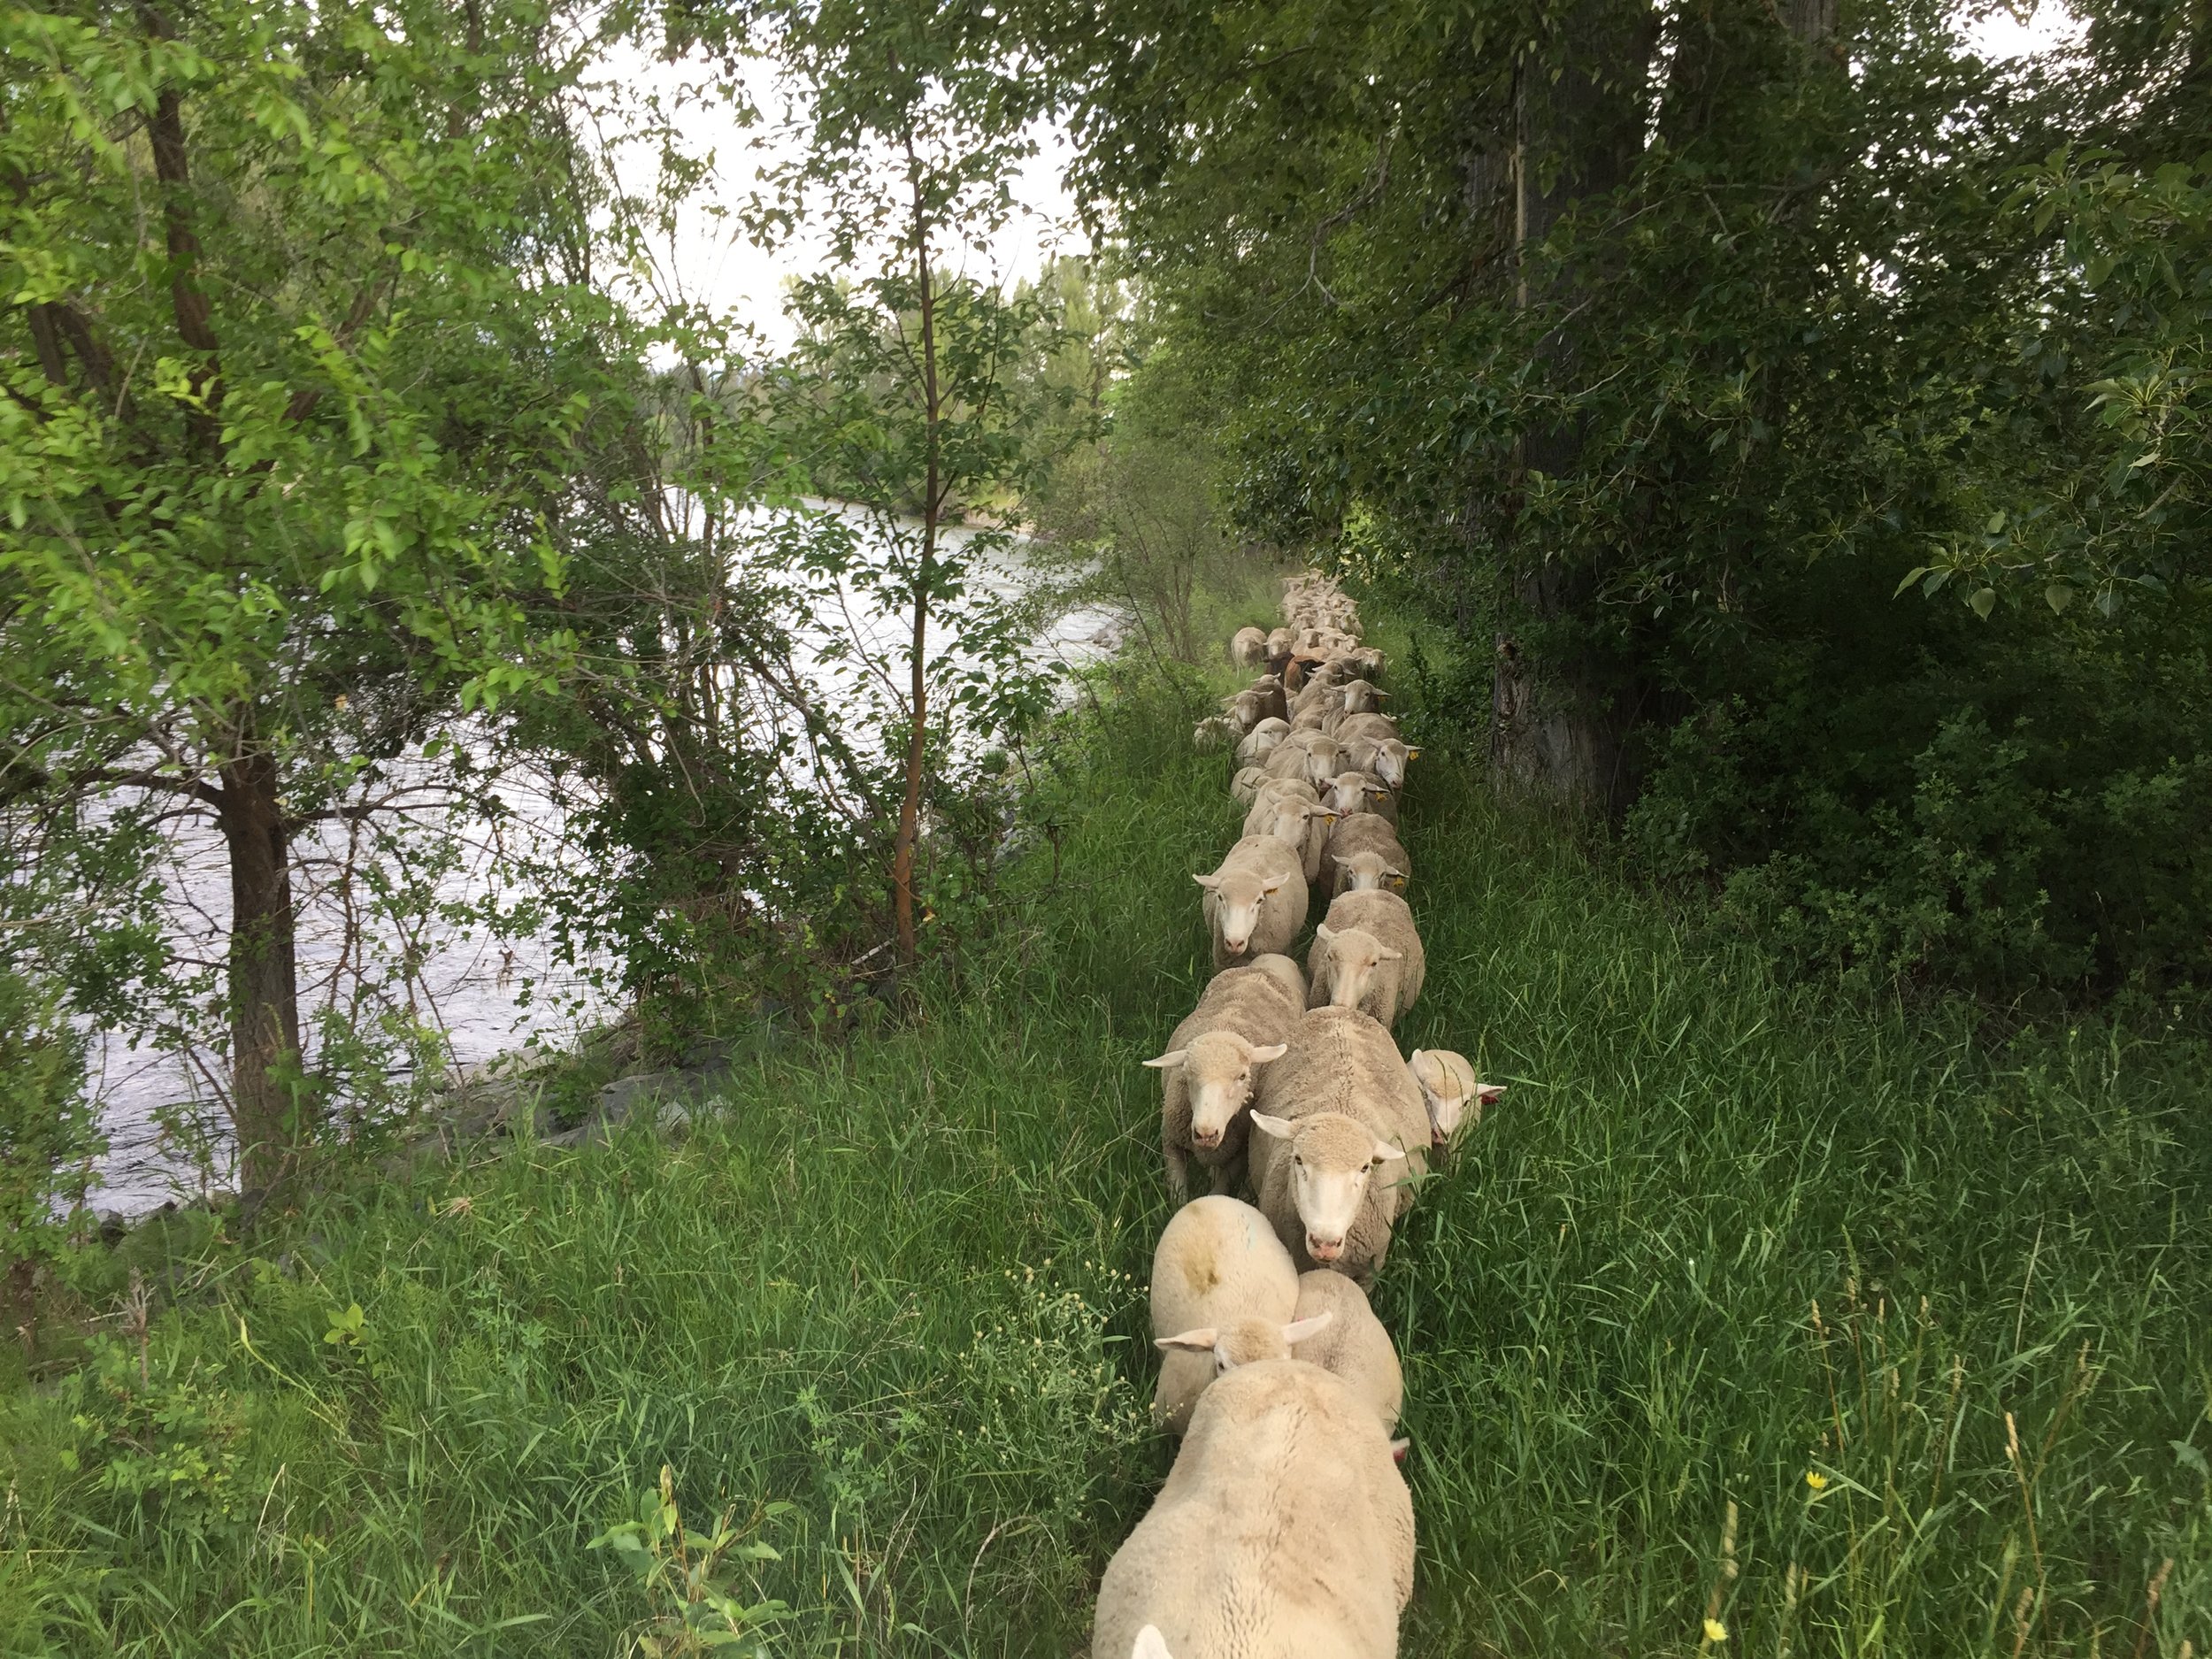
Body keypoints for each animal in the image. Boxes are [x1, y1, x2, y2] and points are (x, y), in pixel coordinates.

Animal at [1147, 966, 1301, 1201]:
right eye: (1187, 1073)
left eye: (1243, 1077)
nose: (1206, 1133)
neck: (1226, 1027)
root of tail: (1258, 969)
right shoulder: (1171, 1143)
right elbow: (1178, 1194)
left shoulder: (1240, 1154)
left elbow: (1219, 1189)